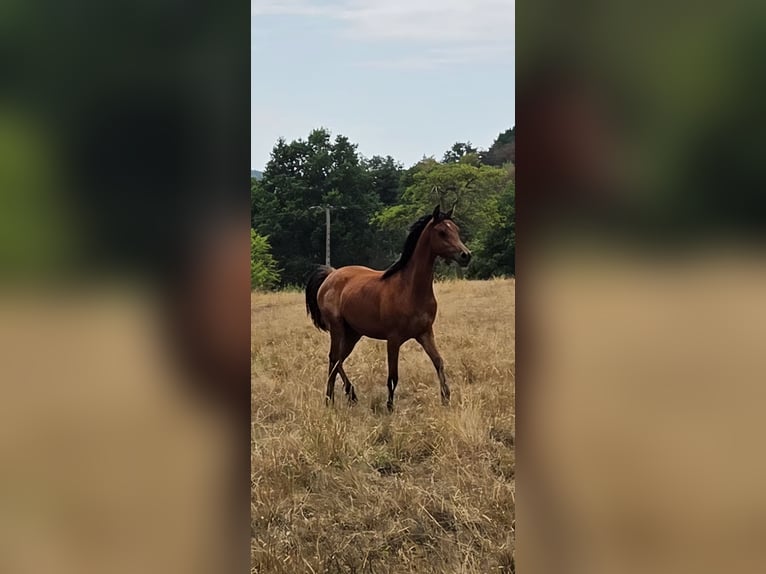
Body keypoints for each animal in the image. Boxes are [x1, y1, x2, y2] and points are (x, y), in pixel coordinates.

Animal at [305, 204, 472, 411]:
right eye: (442, 232)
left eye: (456, 230)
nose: (466, 255)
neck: (409, 289)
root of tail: (331, 275)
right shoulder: (393, 339)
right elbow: (393, 376)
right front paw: (390, 407)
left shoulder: (425, 333)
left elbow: (439, 362)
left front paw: (446, 399)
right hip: (337, 329)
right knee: (334, 358)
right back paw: (331, 399)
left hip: (353, 333)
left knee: (338, 360)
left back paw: (347, 395)